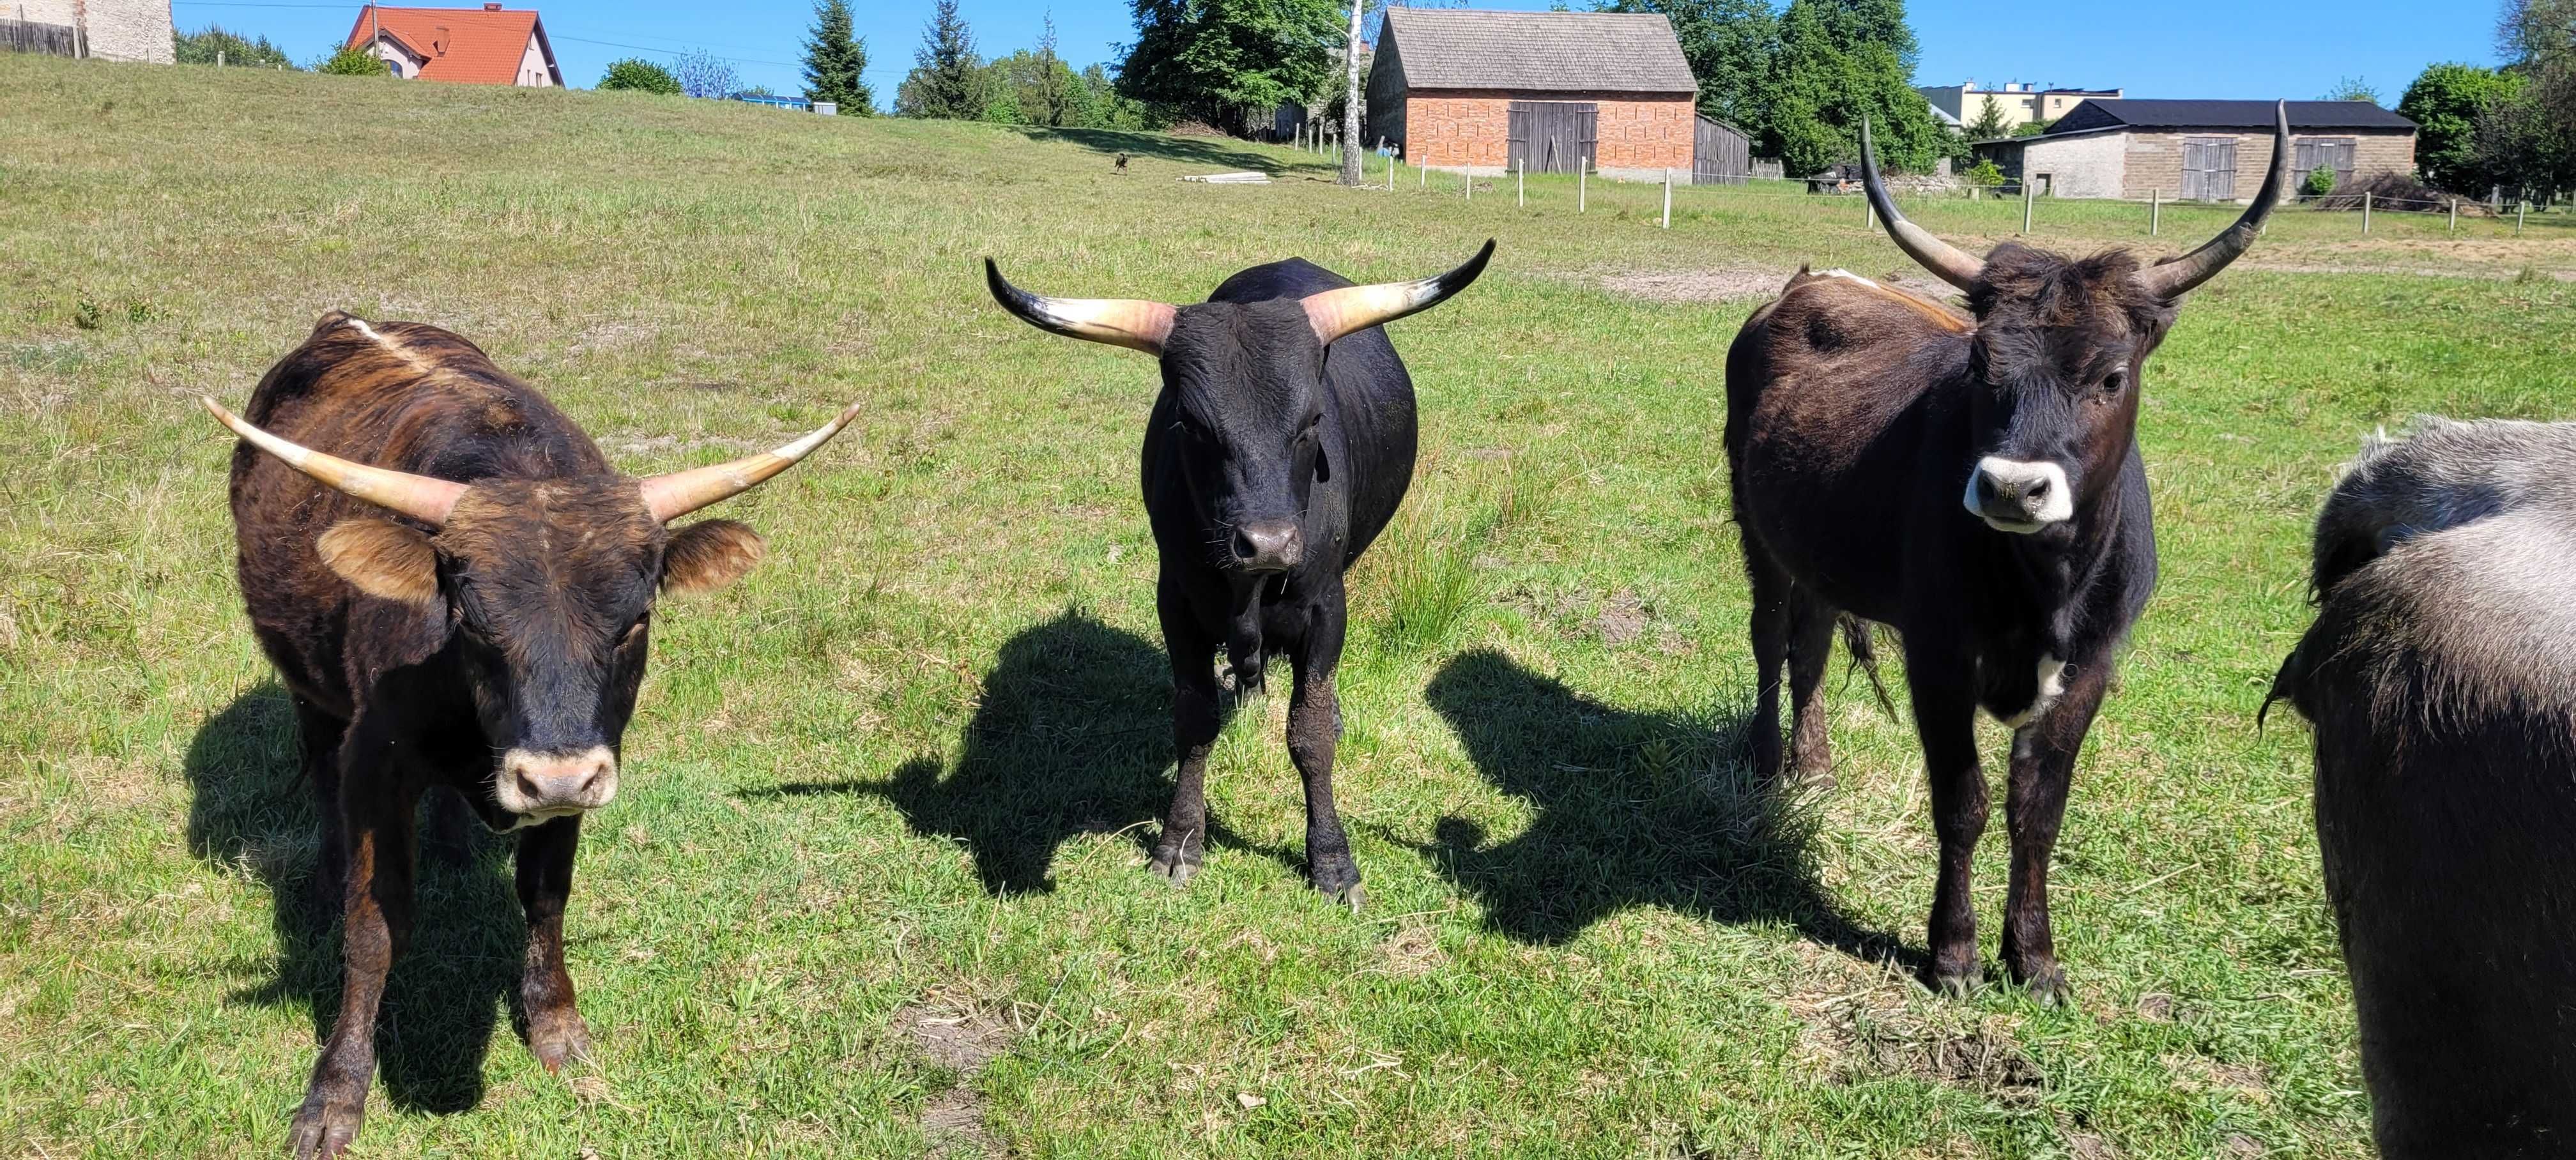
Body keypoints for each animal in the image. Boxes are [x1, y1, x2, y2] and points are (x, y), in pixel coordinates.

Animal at [206, 313, 860, 1154]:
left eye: (636, 617)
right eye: (472, 618)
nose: (549, 779)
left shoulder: (584, 768)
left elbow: (546, 894)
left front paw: (556, 1023)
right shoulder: (374, 761)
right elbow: (375, 925)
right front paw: (336, 1091)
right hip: (302, 679)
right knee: (316, 762)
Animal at [1731, 104, 2297, 1000]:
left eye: (2111, 375)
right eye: (1978, 363)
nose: (2010, 487)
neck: (2047, 586)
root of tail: (1809, 284)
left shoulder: (2093, 664)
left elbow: (2039, 809)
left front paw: (2034, 956)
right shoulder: (1937, 653)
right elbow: (1963, 800)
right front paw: (1954, 952)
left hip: (1819, 547)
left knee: (1812, 643)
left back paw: (1812, 768)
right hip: (1758, 529)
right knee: (1768, 638)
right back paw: (1764, 761)